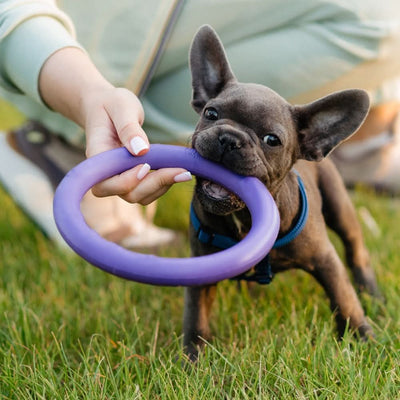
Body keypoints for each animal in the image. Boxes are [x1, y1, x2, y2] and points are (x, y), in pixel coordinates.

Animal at [183, 25, 380, 360]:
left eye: (271, 139)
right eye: (211, 113)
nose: (229, 138)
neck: (243, 218)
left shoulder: (325, 259)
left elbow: (344, 298)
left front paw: (362, 338)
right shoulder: (200, 268)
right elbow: (197, 313)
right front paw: (193, 356)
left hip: (339, 205)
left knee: (356, 248)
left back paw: (373, 294)